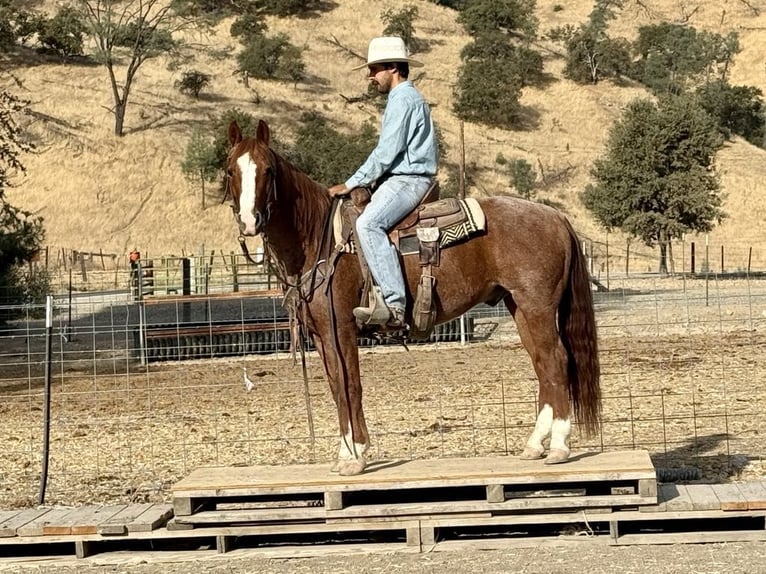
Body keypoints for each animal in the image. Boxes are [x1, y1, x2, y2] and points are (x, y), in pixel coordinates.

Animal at [225, 119, 601, 476]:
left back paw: (559, 447)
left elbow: (350, 385)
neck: (319, 236)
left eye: (268, 170)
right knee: (542, 364)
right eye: (230, 170)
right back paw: (535, 445)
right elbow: (335, 387)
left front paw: (356, 455)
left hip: (537, 306)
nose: (249, 221)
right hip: (520, 306)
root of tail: (556, 216)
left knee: (556, 360)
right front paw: (345, 453)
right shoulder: (320, 334)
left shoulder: (340, 328)